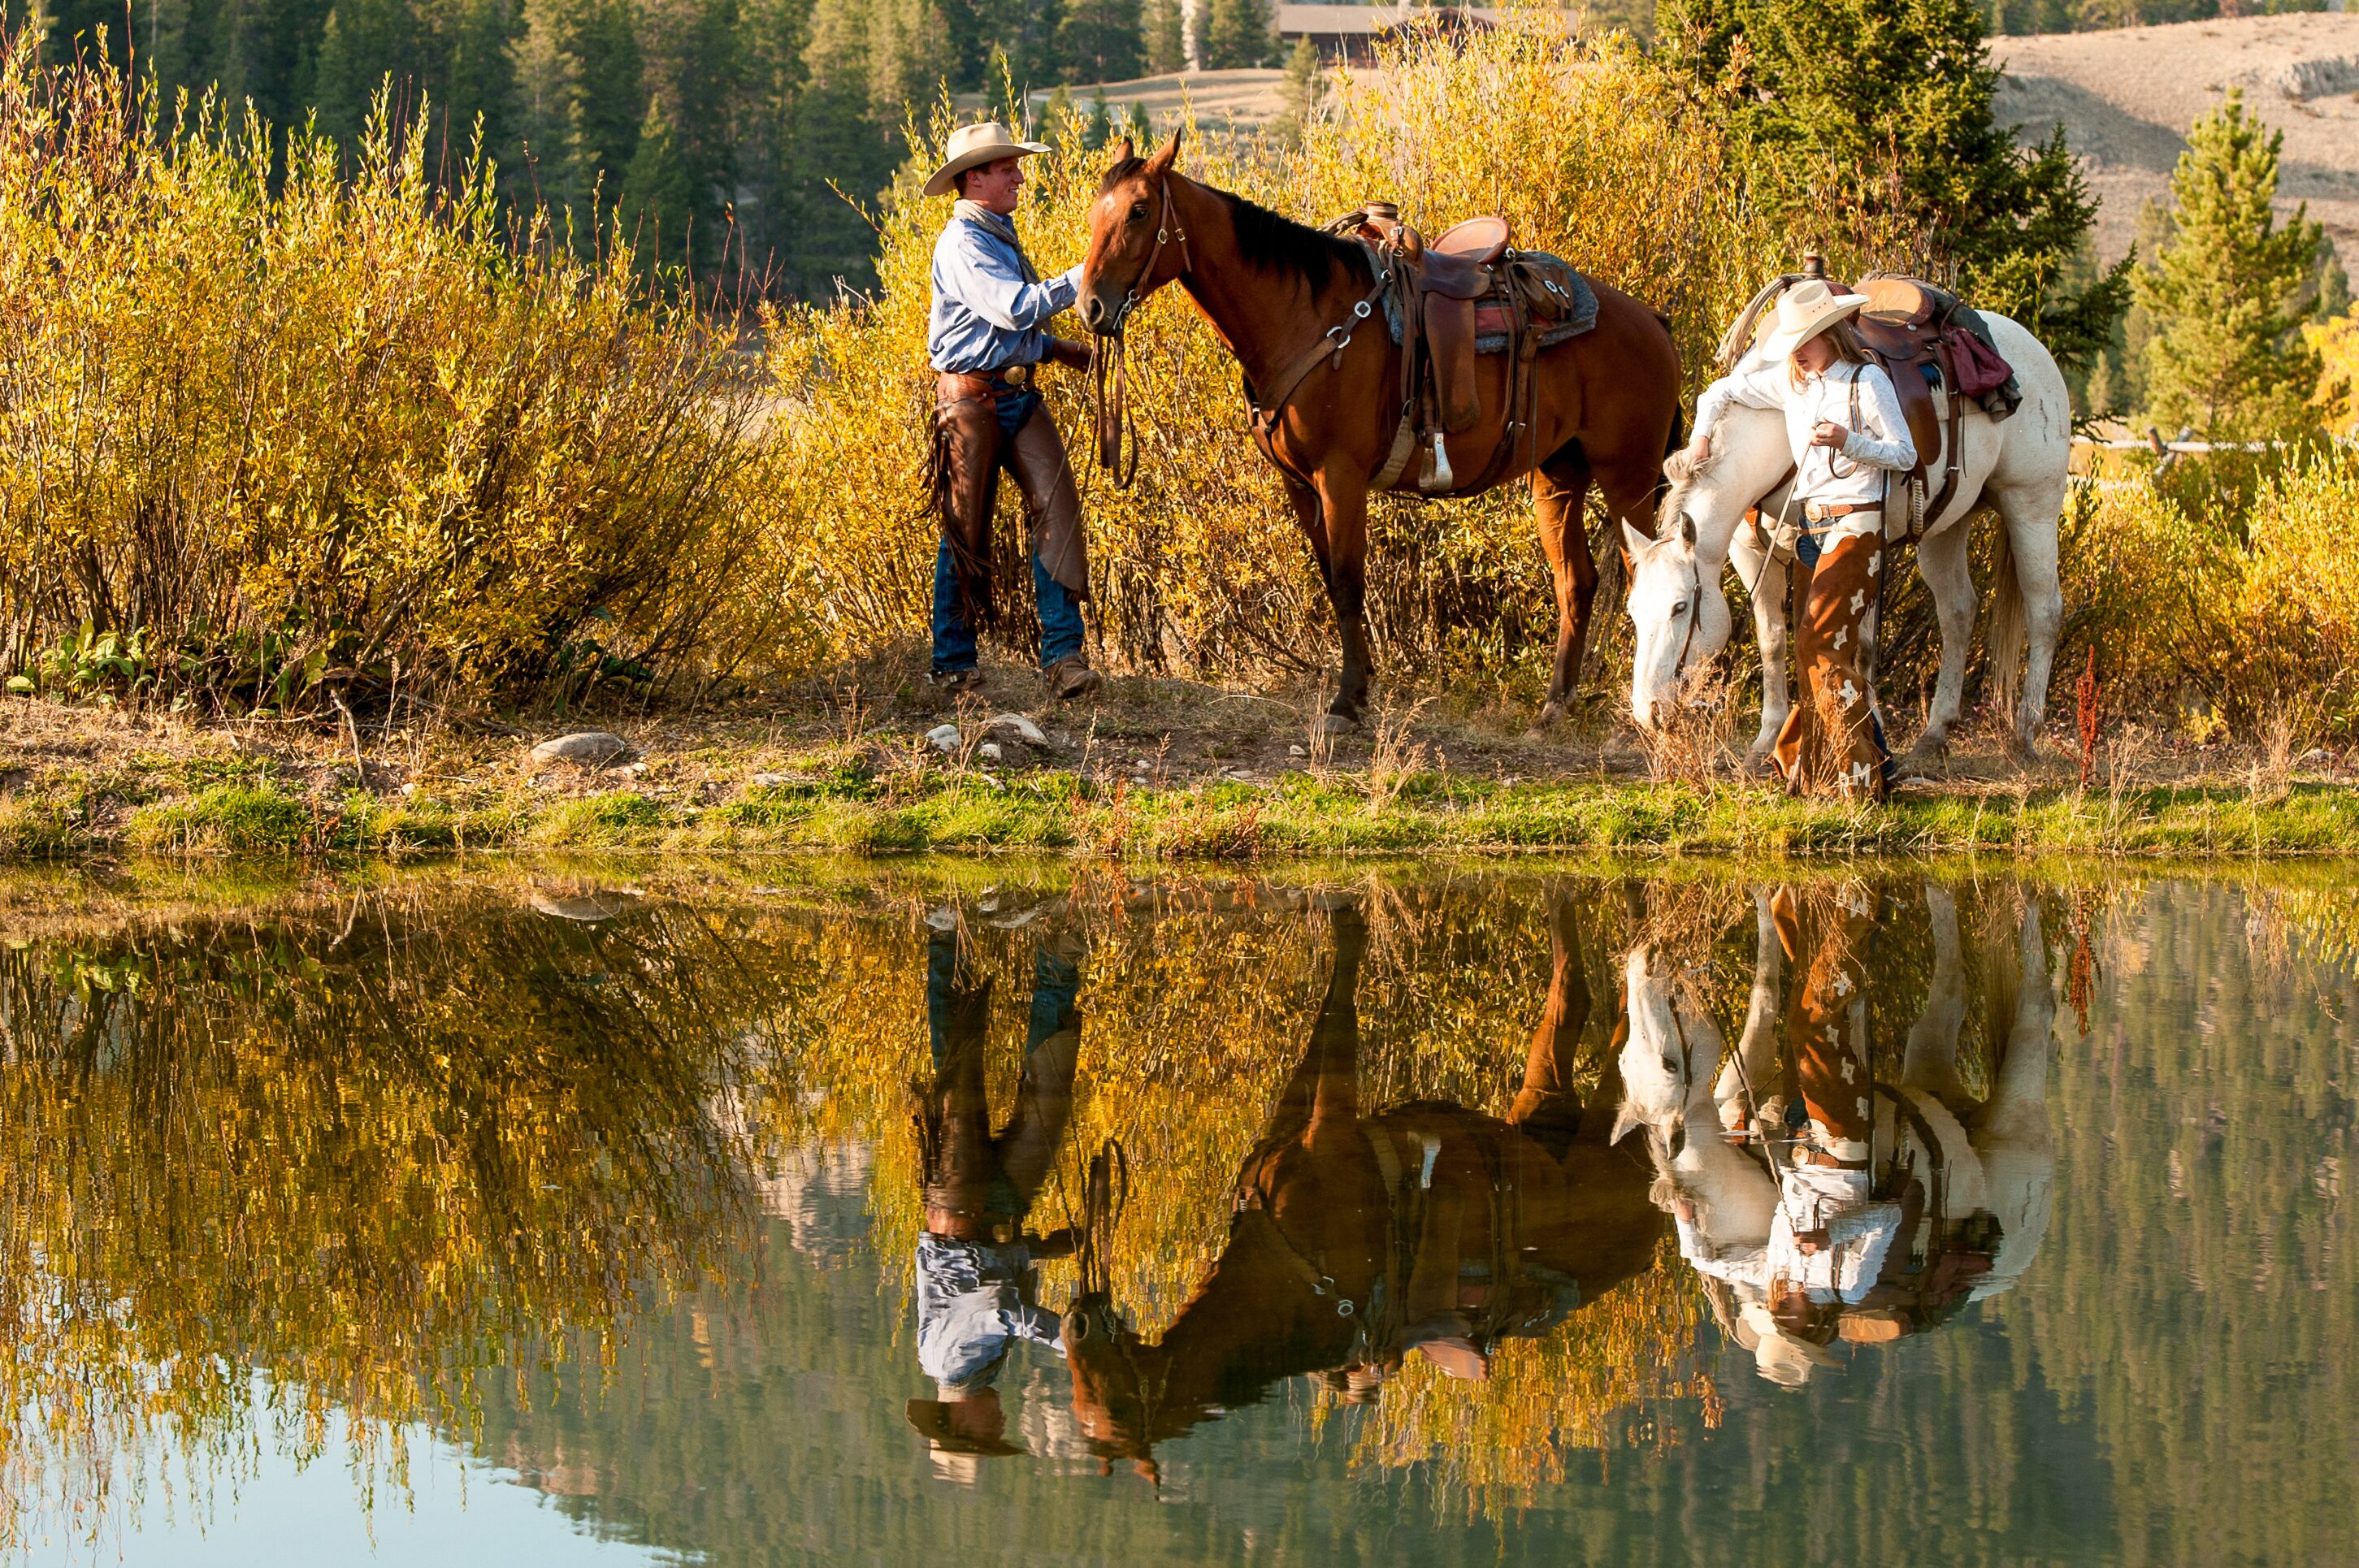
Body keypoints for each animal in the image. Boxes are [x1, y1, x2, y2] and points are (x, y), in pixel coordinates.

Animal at [1061, 891, 1670, 1480]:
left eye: (1115, 1409)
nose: (1076, 1323)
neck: (1288, 1287)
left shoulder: (1331, 1120)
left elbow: (1343, 981)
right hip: (1544, 1103)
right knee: (1574, 993)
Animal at [1080, 128, 1689, 726]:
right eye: (1096, 209)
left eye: (1139, 210)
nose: (1090, 307)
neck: (1303, 317)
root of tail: (1653, 322)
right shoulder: (1300, 483)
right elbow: (1332, 579)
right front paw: (1361, 684)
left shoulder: (1341, 477)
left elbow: (1350, 583)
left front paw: (1347, 701)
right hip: (1558, 475)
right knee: (1575, 581)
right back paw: (1555, 704)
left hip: (1629, 477)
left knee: (1644, 574)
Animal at [1623, 306, 2066, 764]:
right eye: (1633, 610)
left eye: (1679, 607)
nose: (1647, 712)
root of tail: (2034, 348)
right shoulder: (1751, 552)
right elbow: (1774, 640)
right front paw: (1769, 738)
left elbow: (1857, 643)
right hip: (1947, 526)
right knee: (1958, 611)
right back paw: (1935, 732)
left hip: (2032, 507)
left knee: (2044, 611)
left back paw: (2026, 731)